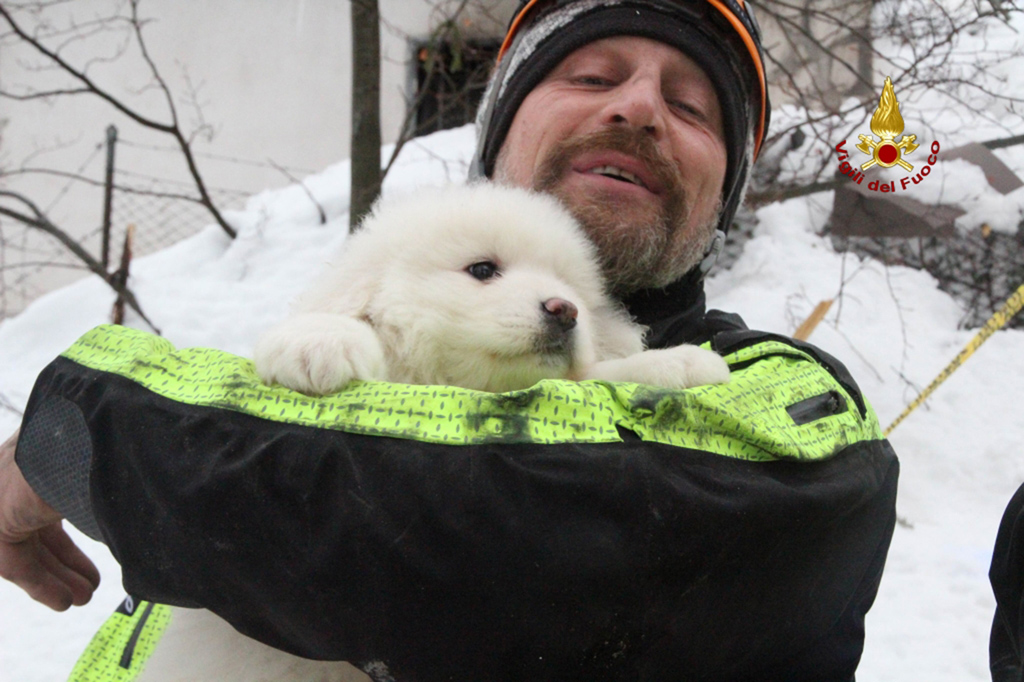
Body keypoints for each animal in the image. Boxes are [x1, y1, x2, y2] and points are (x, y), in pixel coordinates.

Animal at [138, 183, 729, 675]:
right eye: (483, 270)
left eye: (572, 289)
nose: (565, 310)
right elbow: (359, 332)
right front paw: (317, 341)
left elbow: (603, 373)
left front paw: (681, 364)